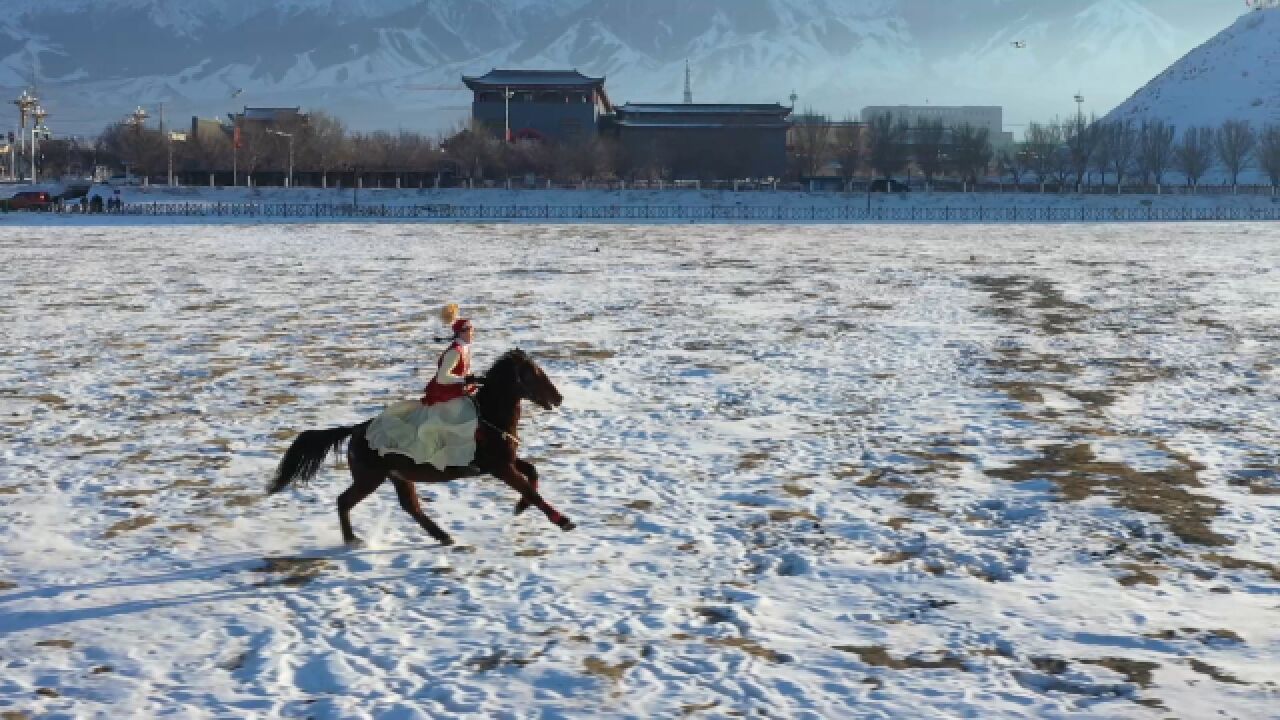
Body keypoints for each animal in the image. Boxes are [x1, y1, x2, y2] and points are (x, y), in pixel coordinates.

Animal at [270, 348, 576, 543]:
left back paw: (443, 536)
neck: (488, 417)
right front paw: (563, 521)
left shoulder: (505, 462)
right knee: (344, 501)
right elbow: (530, 488)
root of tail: (357, 430)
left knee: (411, 507)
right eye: (533, 373)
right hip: (370, 478)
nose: (559, 397)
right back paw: (352, 539)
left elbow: (532, 473)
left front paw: (520, 508)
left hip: (398, 477)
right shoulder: (500, 468)